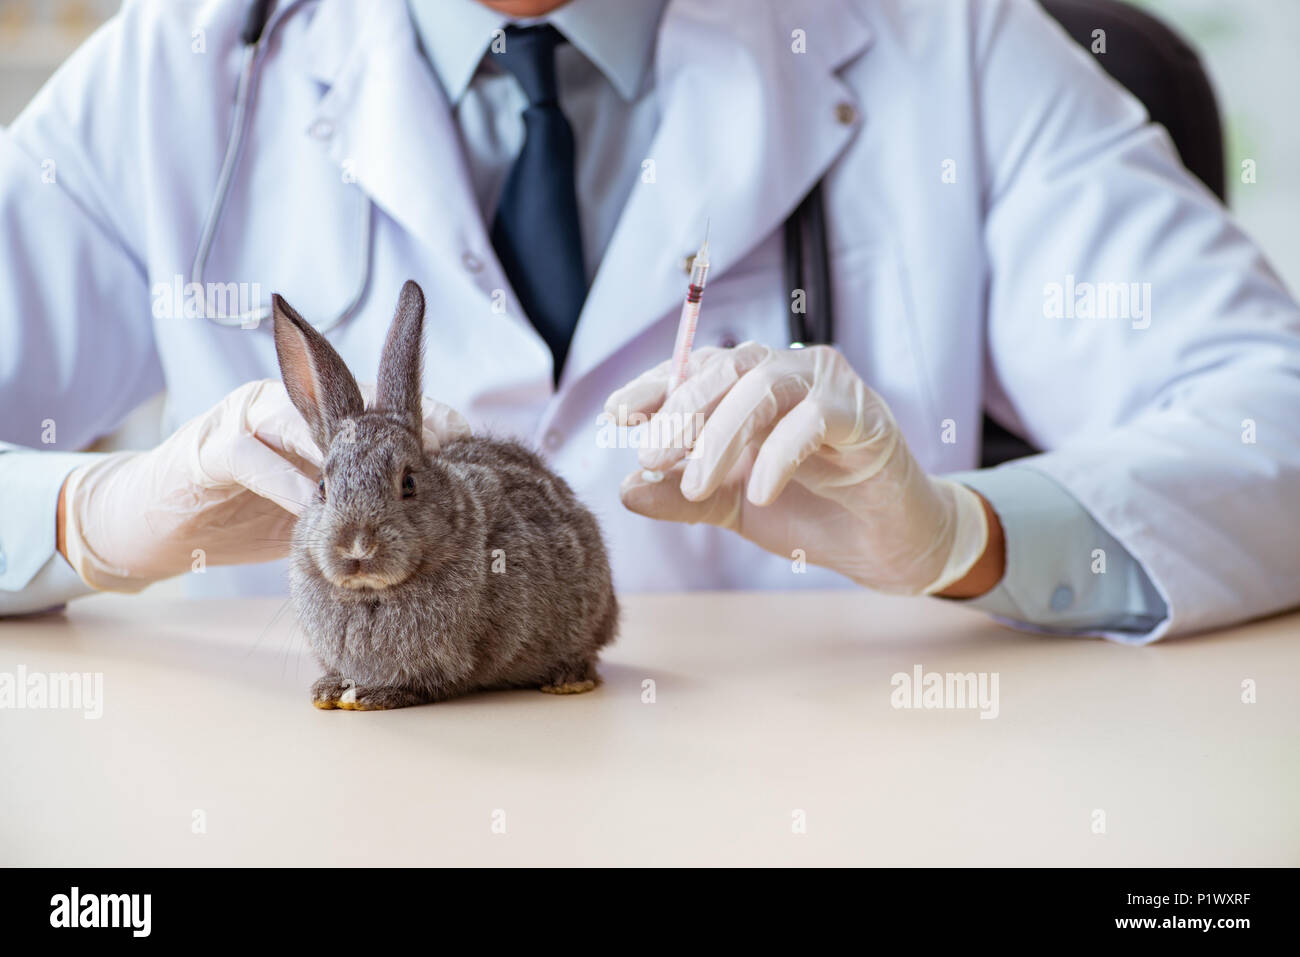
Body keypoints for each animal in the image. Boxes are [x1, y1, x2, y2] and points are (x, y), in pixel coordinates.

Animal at [271, 279, 618, 710]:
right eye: (322, 486)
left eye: (408, 483)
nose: (357, 548)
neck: (372, 592)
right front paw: (331, 688)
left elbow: (431, 682)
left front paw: (370, 694)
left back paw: (568, 680)